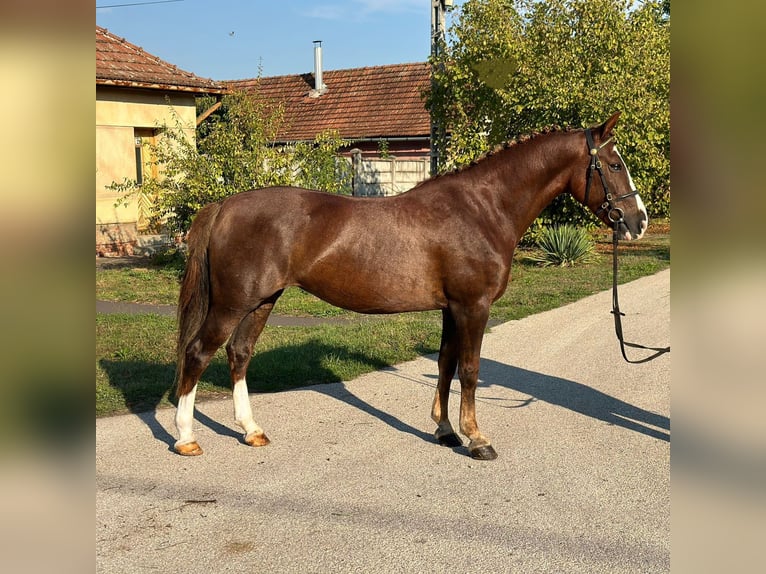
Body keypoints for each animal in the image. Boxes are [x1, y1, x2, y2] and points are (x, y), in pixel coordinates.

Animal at [172, 113, 648, 464]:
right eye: (613, 165)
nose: (638, 221)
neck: (482, 208)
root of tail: (225, 205)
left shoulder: (451, 309)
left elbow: (445, 365)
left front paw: (446, 431)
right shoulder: (472, 307)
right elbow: (470, 370)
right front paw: (477, 440)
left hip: (261, 302)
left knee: (239, 354)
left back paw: (252, 431)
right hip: (233, 304)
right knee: (197, 354)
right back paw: (187, 438)